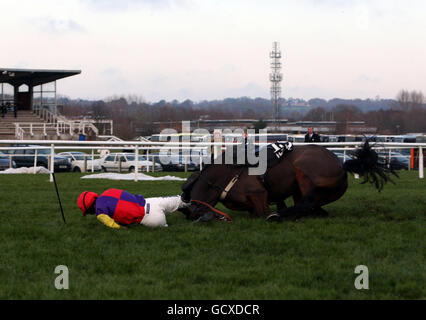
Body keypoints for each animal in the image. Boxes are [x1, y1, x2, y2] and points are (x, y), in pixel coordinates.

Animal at [181, 141, 398, 221]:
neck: (227, 173)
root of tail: (341, 164)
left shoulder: (259, 195)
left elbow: (260, 212)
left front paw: (274, 212)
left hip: (304, 168)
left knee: (308, 202)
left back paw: (279, 215)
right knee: (312, 207)